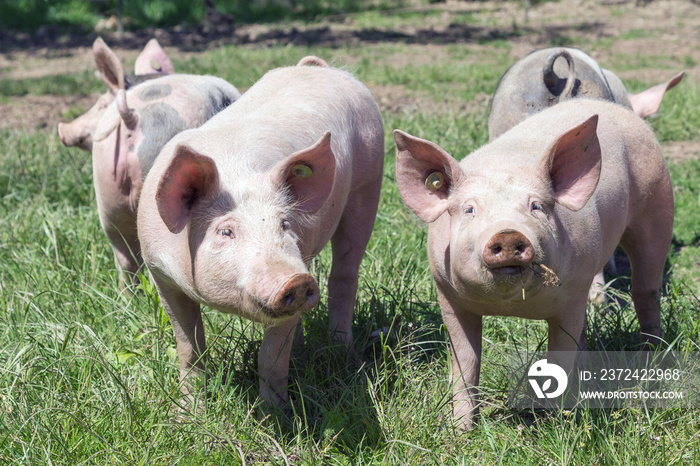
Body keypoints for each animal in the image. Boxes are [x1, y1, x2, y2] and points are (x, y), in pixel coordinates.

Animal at [136, 58, 382, 412]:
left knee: (344, 275)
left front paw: (276, 417)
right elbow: (188, 347)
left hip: (369, 181)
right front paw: (188, 413)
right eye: (226, 231)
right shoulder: (160, 273)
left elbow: (271, 361)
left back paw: (343, 357)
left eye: (284, 224)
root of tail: (320, 68)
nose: (296, 280)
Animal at [394, 99, 672, 430]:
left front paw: (555, 424)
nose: (508, 233)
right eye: (470, 209)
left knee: (646, 290)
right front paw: (460, 429)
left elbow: (559, 359)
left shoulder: (570, 298)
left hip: (657, 204)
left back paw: (652, 355)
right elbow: (465, 362)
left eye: (536, 206)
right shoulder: (448, 295)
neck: (511, 305)